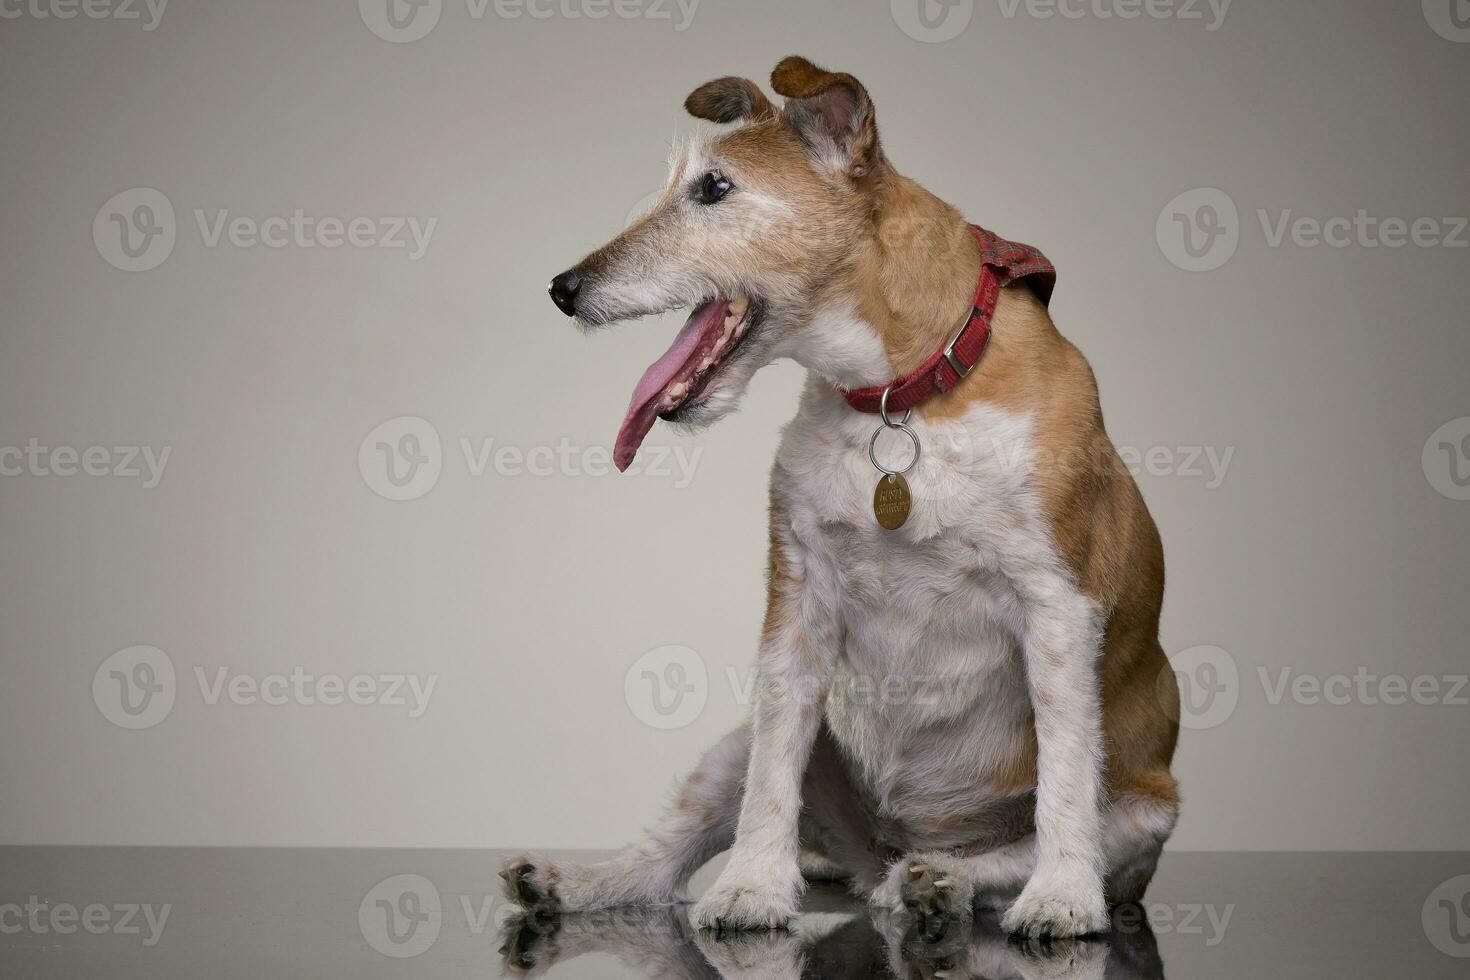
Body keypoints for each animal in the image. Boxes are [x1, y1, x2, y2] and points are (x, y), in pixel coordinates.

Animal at [505, 55, 1181, 940]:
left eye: (714, 189)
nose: (564, 287)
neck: (901, 396)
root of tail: (879, 849)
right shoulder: (799, 600)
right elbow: (772, 774)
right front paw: (753, 887)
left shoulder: (1058, 607)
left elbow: (1065, 775)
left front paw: (1063, 896)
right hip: (731, 750)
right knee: (667, 858)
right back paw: (572, 882)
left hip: (1146, 815)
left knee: (1007, 854)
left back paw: (941, 881)